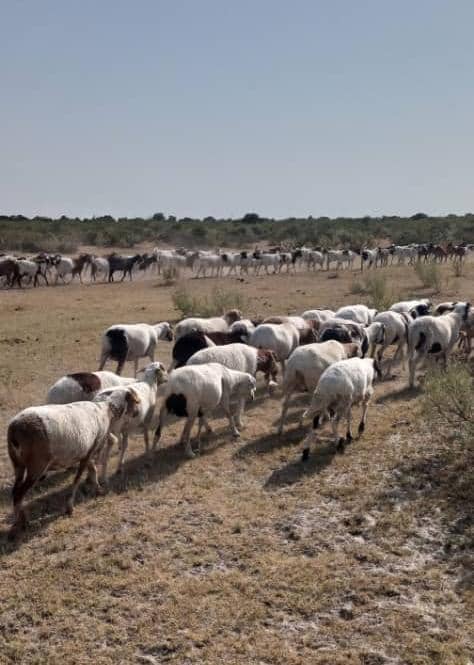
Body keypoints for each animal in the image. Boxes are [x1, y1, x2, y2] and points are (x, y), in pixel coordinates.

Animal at [6, 390, 140, 536]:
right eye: (134, 401)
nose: (137, 413)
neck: (106, 409)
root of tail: (14, 429)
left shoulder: (87, 452)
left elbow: (93, 470)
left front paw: (98, 489)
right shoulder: (91, 449)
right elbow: (77, 480)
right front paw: (69, 508)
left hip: (17, 464)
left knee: (15, 491)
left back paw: (20, 521)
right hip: (36, 466)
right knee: (19, 494)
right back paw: (23, 524)